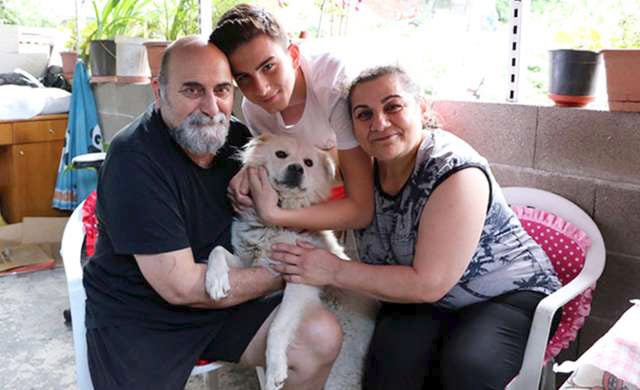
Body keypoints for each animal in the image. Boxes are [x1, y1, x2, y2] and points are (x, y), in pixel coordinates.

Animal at [206, 134, 356, 390]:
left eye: (308, 163)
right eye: (281, 154)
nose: (296, 168)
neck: (274, 224)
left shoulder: (300, 278)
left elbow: (278, 326)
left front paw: (275, 367)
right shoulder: (249, 263)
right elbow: (216, 251)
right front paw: (215, 281)